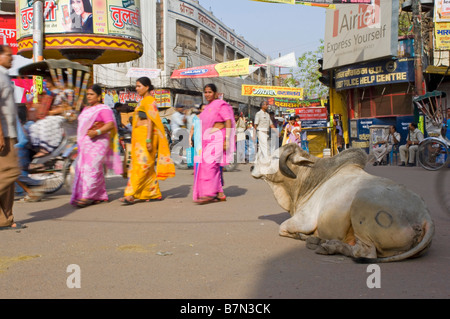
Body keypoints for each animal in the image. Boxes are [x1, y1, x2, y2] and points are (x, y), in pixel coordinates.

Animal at [251, 144, 434, 262]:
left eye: (275, 157)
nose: (252, 167)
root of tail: (424, 215)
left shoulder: (305, 220)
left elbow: (282, 228)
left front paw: (303, 236)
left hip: (362, 203)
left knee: (364, 253)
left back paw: (328, 246)